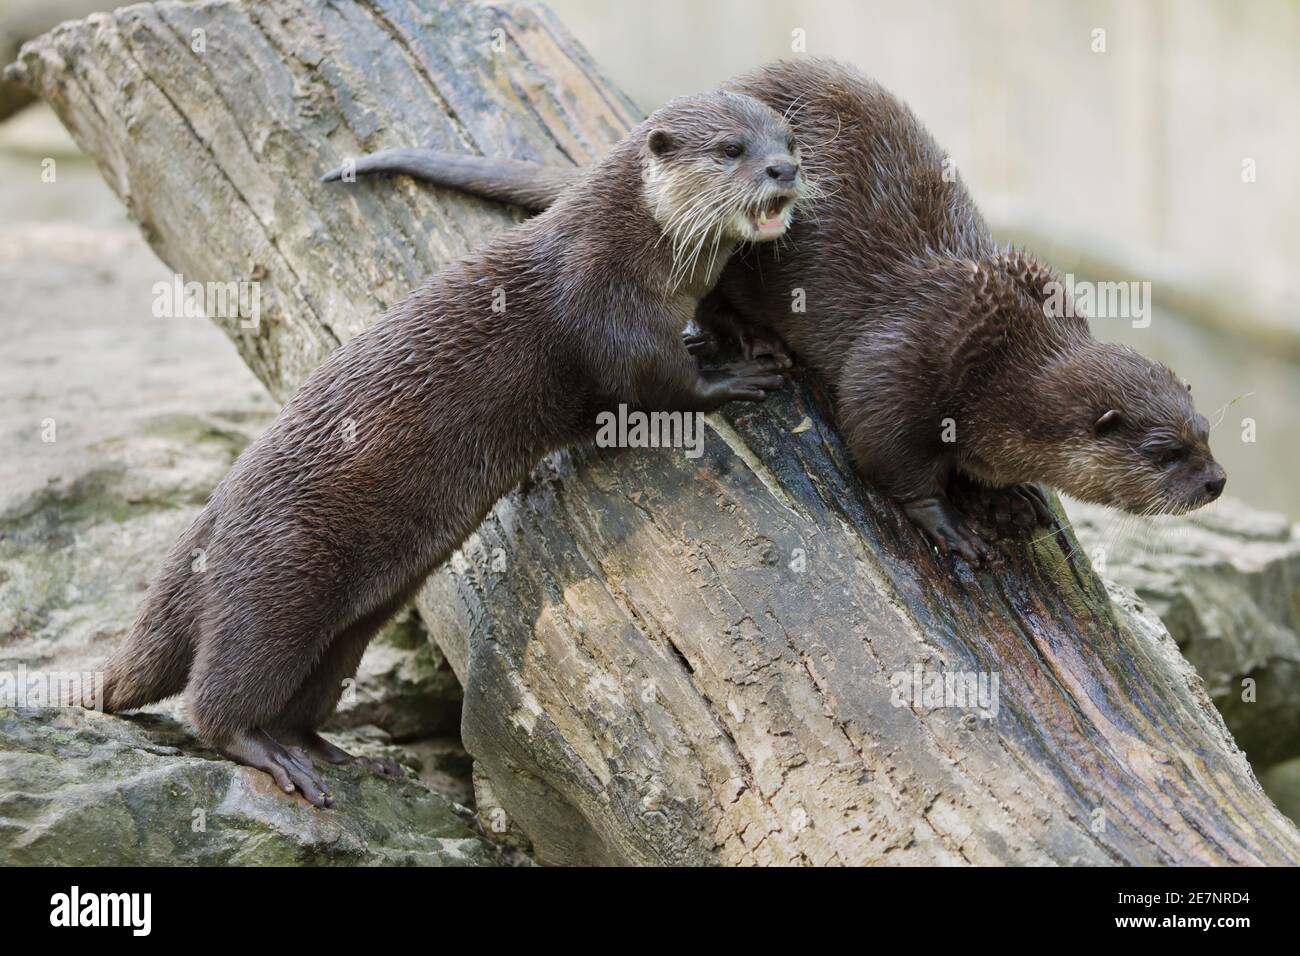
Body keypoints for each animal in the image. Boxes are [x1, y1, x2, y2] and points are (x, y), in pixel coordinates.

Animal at [104, 91, 811, 806]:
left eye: (789, 139)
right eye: (730, 149)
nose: (783, 170)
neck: (631, 250)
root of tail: (211, 513)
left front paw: (722, 339)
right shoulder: (606, 313)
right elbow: (659, 388)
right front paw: (737, 374)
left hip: (350, 622)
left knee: (309, 694)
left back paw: (345, 756)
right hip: (273, 581)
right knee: (217, 696)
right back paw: (273, 756)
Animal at [335, 59, 1227, 561]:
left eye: (1206, 431)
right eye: (1163, 452)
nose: (1215, 481)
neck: (1001, 363)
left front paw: (1016, 499)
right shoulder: (908, 359)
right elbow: (883, 448)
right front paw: (950, 522)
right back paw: (755, 346)